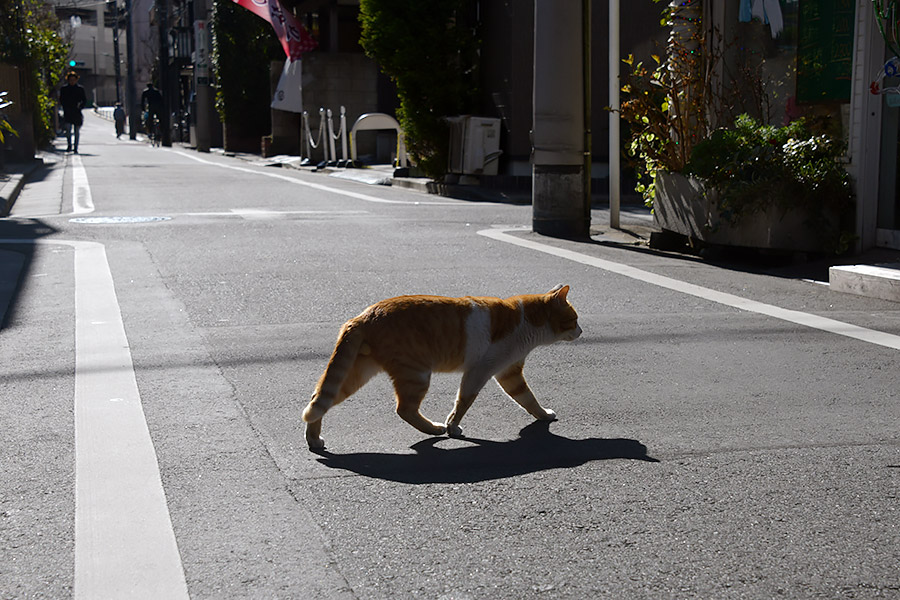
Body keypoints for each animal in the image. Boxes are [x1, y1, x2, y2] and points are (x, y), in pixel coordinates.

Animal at [302, 286, 584, 450]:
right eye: (574, 319)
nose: (581, 331)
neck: (526, 321)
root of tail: (363, 316)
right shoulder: (480, 371)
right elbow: (464, 401)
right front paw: (452, 427)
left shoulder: (509, 373)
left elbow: (528, 399)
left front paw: (543, 415)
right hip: (416, 374)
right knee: (404, 409)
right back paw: (435, 429)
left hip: (355, 375)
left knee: (319, 400)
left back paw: (314, 439)